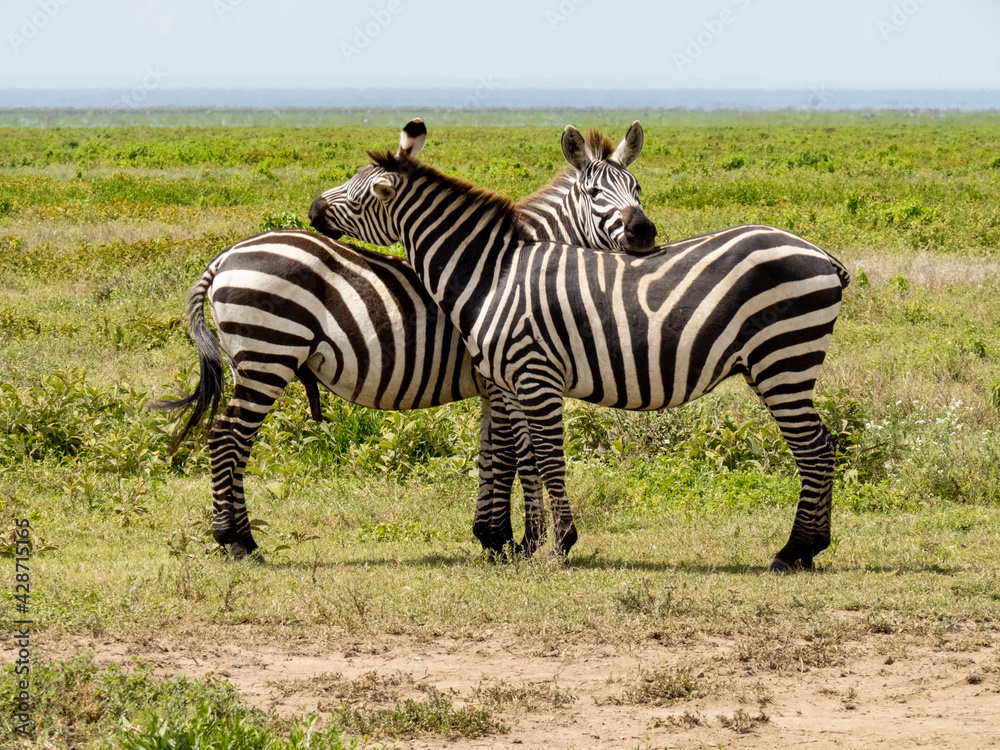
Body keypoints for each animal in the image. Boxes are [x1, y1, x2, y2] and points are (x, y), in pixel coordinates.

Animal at [151, 121, 655, 560]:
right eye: (594, 194)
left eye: (638, 190)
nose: (644, 232)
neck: (509, 266)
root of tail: (224, 258)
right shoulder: (507, 377)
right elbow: (517, 454)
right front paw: (513, 541)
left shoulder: (494, 383)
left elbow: (492, 452)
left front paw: (492, 536)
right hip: (268, 354)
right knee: (228, 438)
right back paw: (235, 541)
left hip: (252, 359)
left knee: (235, 440)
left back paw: (241, 537)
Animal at [308, 120, 850, 572]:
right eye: (592, 192)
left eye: (359, 194)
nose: (312, 209)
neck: (492, 274)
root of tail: (819, 252)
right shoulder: (507, 382)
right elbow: (520, 455)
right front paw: (520, 541)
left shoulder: (532, 375)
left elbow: (541, 457)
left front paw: (551, 543)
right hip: (777, 363)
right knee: (820, 445)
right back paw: (808, 548)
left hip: (783, 359)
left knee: (815, 447)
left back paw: (795, 551)